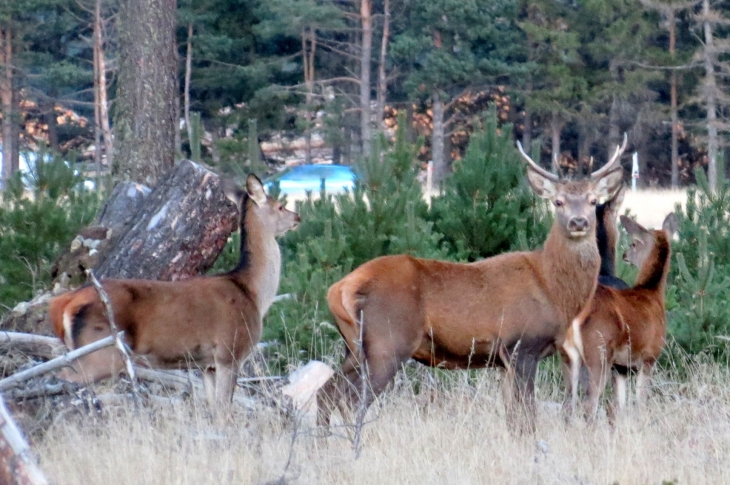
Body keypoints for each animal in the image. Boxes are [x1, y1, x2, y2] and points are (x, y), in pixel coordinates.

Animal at [49, 175, 298, 420]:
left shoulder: (206, 365)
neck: (252, 293)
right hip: (100, 350)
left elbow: (215, 411)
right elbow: (225, 411)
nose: (298, 216)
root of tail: (65, 302)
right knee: (61, 382)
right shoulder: (230, 352)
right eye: (280, 206)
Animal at [318, 137, 624, 432]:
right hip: (388, 341)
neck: (553, 290)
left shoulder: (502, 360)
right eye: (558, 202)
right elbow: (528, 417)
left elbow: (513, 419)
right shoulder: (522, 344)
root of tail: (339, 288)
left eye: (592, 200)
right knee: (352, 400)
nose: (578, 222)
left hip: (353, 347)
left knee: (327, 394)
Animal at [564, 212, 676, 420]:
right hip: (598, 352)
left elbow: (619, 405)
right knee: (589, 403)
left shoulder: (621, 367)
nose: (624, 255)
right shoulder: (649, 356)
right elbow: (640, 401)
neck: (652, 292)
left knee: (568, 403)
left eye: (633, 244)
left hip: (569, 355)